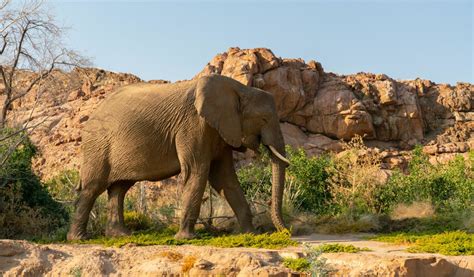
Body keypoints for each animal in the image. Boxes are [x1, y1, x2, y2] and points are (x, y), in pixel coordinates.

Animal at [66, 73, 288, 239]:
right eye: (264, 119)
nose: (286, 232)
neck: (239, 88)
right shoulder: (193, 125)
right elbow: (198, 171)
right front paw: (186, 238)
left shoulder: (220, 130)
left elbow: (224, 178)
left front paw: (251, 234)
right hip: (98, 145)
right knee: (93, 187)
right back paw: (79, 238)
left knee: (119, 188)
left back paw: (120, 235)